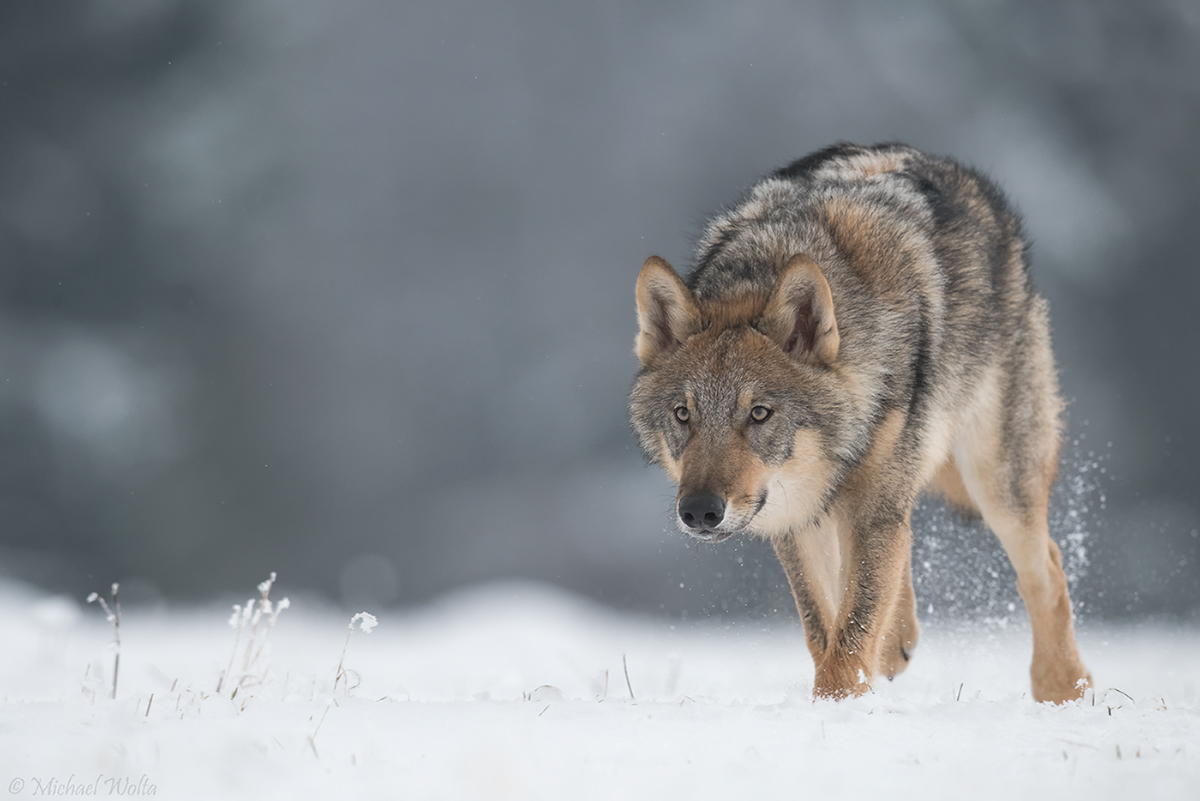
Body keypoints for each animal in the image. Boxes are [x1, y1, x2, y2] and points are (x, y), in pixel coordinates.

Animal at [633, 142, 1094, 700]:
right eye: (684, 415)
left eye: (759, 413)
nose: (700, 511)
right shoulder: (796, 516)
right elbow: (824, 627)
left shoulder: (868, 505)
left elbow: (851, 630)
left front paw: (839, 704)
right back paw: (900, 641)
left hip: (996, 484)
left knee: (1046, 567)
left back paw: (1064, 688)